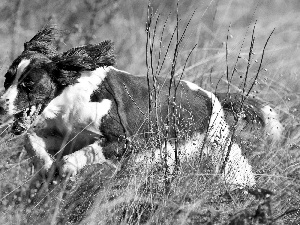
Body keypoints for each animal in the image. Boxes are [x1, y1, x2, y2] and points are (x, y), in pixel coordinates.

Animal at [0, 25, 282, 188]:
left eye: (29, 84)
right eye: (7, 78)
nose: (2, 105)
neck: (71, 98)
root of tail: (211, 96)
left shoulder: (123, 141)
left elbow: (81, 155)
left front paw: (66, 169)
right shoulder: (67, 136)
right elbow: (31, 140)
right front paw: (46, 169)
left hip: (220, 149)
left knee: (238, 174)